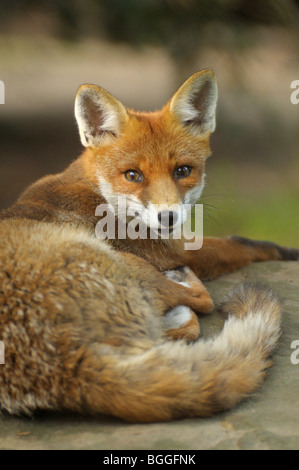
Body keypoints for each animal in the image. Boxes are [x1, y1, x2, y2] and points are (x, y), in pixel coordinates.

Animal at [0, 70, 298, 422]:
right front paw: (286, 251)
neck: (98, 191)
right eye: (133, 175)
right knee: (200, 302)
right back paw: (181, 283)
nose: (167, 217)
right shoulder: (173, 250)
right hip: (128, 263)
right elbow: (242, 244)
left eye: (183, 171)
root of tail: (70, 367)